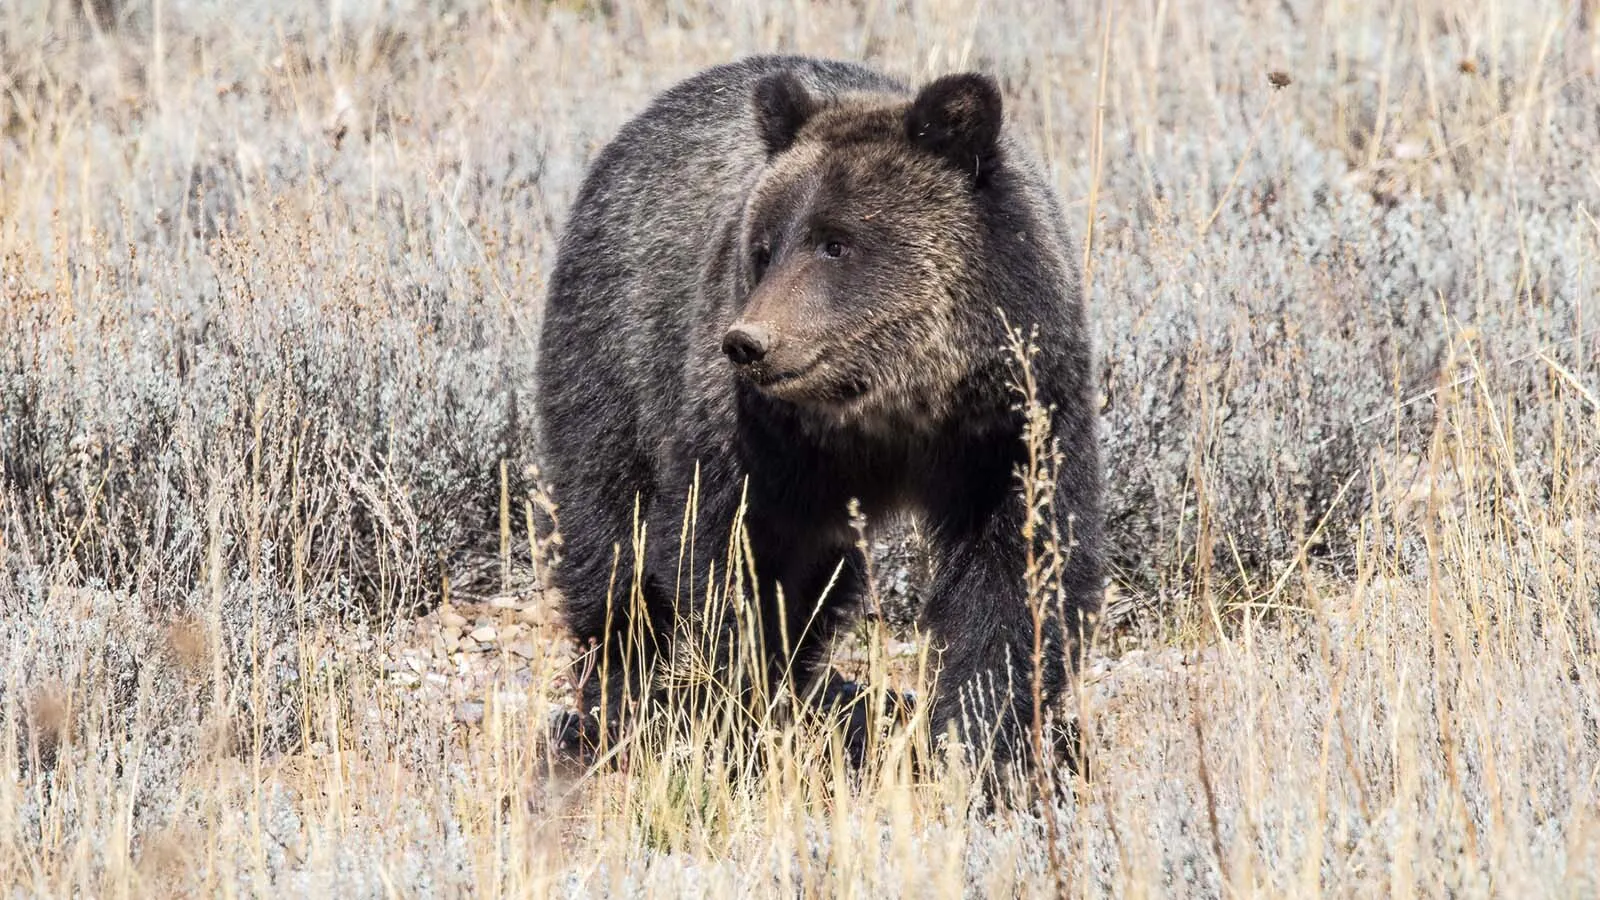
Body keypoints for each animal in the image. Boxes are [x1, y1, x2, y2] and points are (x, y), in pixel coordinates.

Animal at [536, 55, 1103, 776]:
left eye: (836, 242)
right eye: (764, 246)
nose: (748, 342)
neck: (894, 407)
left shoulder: (1010, 423)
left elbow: (1020, 569)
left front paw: (979, 742)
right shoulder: (757, 439)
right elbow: (734, 559)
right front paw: (733, 722)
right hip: (614, 344)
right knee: (610, 532)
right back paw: (616, 704)